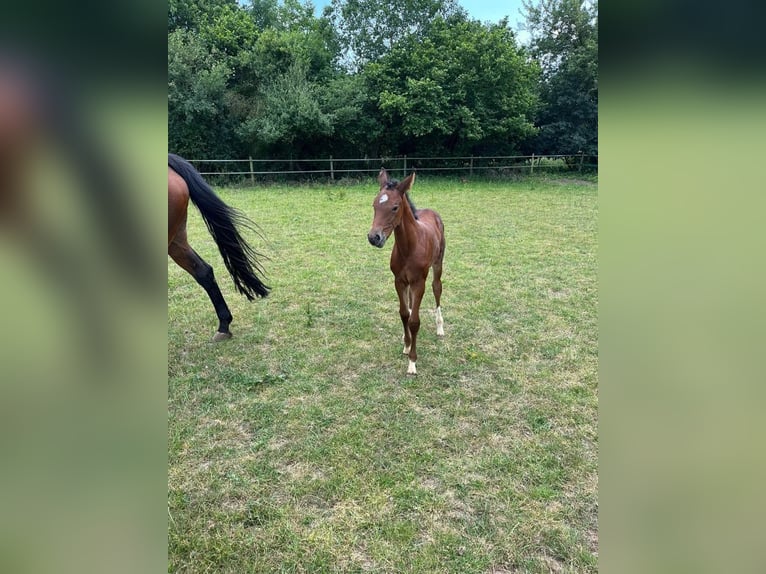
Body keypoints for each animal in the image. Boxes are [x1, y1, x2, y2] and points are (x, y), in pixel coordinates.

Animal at [368, 169, 448, 376]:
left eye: (395, 207)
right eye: (374, 205)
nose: (374, 237)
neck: (409, 247)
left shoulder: (419, 282)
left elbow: (414, 321)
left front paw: (412, 362)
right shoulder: (399, 281)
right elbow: (404, 313)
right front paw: (407, 344)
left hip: (438, 264)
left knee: (437, 288)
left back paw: (440, 327)